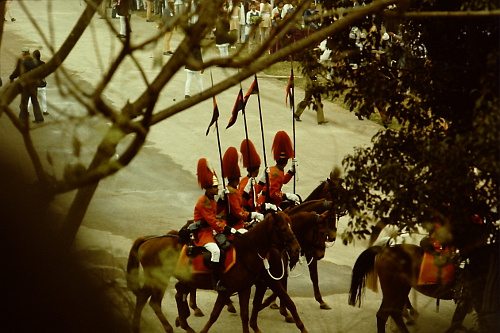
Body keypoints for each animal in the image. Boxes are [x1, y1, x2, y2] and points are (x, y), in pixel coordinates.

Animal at [127, 211, 302, 330]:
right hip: (160, 278)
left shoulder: (247, 287)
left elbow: (246, 314)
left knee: (144, 298)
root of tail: (148, 239)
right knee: (155, 302)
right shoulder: (229, 289)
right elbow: (215, 314)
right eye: (283, 229)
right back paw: (172, 327)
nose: (297, 249)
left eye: (292, 227)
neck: (247, 250)